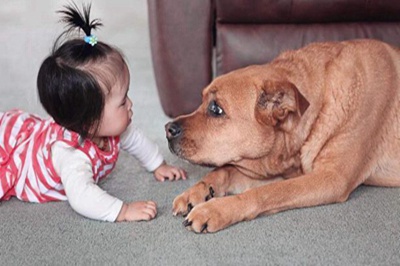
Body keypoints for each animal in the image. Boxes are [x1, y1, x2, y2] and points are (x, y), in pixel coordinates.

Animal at [165, 39, 400, 233]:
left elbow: (268, 192)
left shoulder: (333, 178)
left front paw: (215, 209)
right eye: (202, 100)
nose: (167, 129)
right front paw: (197, 191)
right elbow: (224, 171)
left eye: (216, 109)